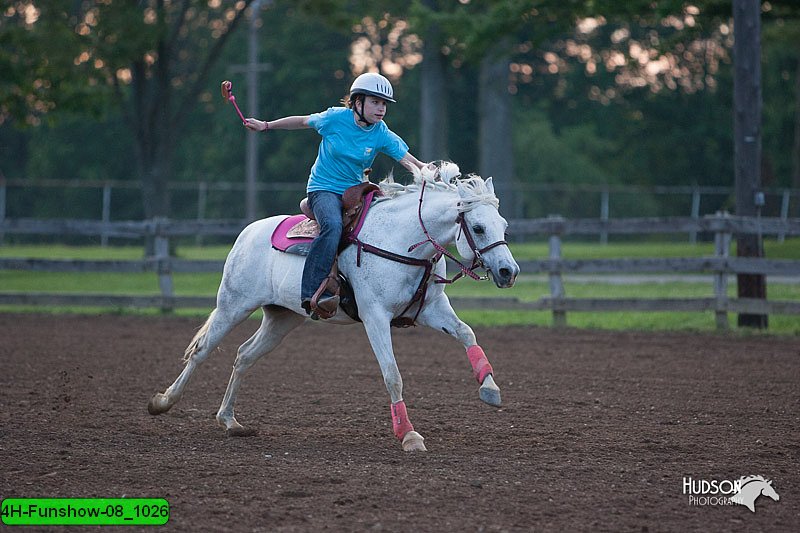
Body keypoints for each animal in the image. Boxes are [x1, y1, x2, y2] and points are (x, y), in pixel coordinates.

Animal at [148, 162, 520, 448]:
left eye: (503, 225)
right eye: (478, 227)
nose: (509, 271)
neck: (401, 241)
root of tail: (247, 233)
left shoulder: (432, 309)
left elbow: (467, 333)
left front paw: (490, 388)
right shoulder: (374, 316)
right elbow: (392, 375)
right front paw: (409, 435)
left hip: (282, 318)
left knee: (244, 355)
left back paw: (229, 421)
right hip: (233, 305)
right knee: (202, 350)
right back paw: (163, 402)